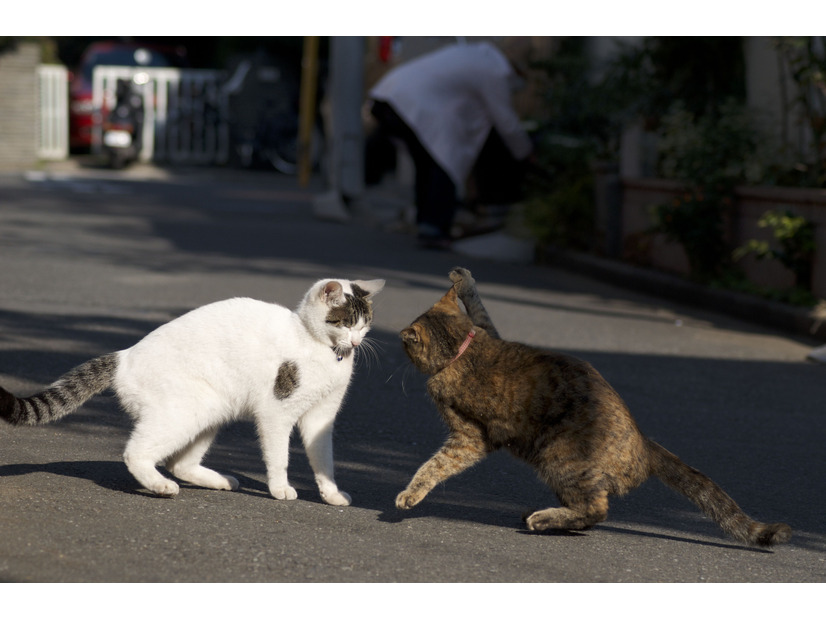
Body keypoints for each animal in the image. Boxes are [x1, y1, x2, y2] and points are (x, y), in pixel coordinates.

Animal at [0, 278, 384, 506]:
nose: (357, 342)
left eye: (365, 323)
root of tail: (126, 355)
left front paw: (331, 495)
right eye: (346, 322)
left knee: (180, 463)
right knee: (137, 453)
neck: (319, 347)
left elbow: (324, 460)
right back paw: (160, 486)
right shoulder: (277, 413)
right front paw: (280, 489)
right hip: (184, 413)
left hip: (212, 411)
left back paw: (219, 481)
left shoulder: (322, 418)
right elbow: (279, 457)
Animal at [396, 268, 788, 548]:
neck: (463, 349)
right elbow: (479, 307)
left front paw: (408, 496)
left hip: (559, 457)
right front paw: (463, 279)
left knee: (596, 509)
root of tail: (645, 442)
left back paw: (543, 519)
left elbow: (434, 466)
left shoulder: (468, 437)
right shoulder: (488, 330)